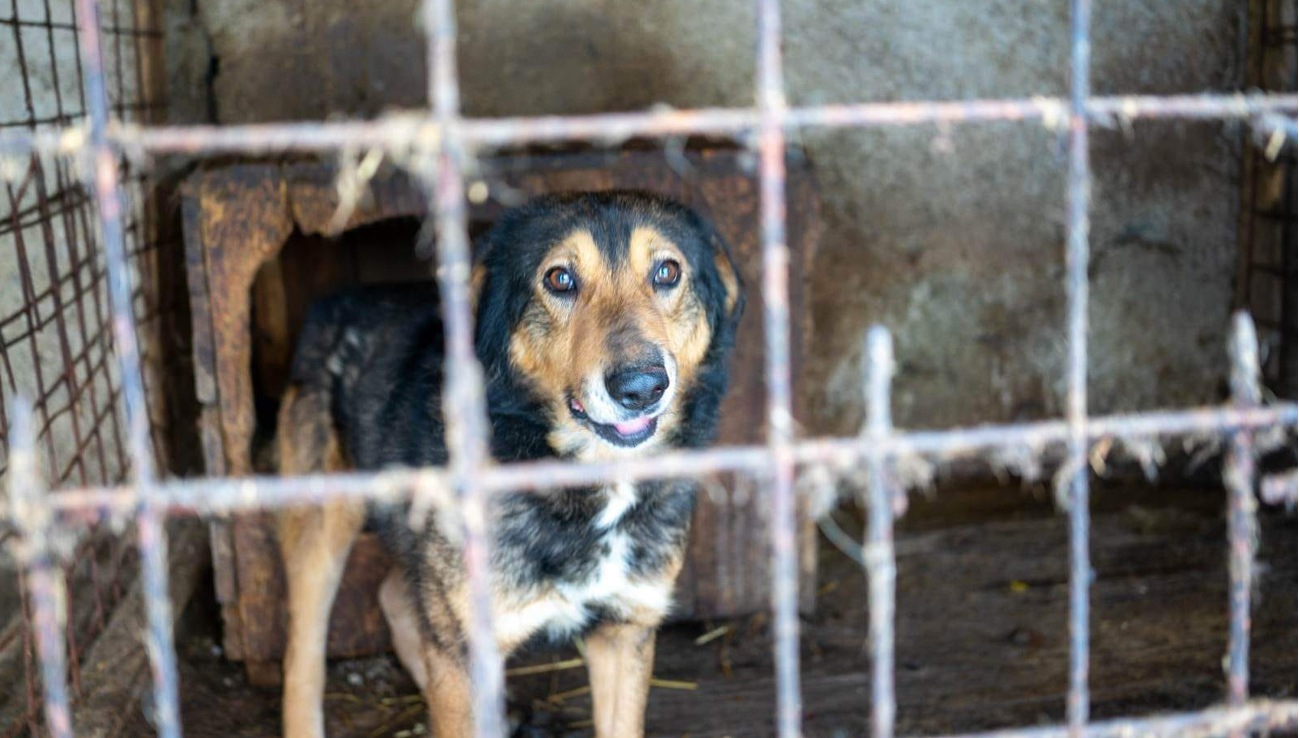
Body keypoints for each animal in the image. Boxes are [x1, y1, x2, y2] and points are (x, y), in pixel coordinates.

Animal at [274, 192, 743, 738]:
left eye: (667, 271)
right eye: (560, 279)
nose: (642, 387)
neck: (585, 488)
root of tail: (336, 301)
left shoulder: (624, 630)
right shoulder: (465, 647)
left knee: (393, 596)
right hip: (321, 529)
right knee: (303, 652)